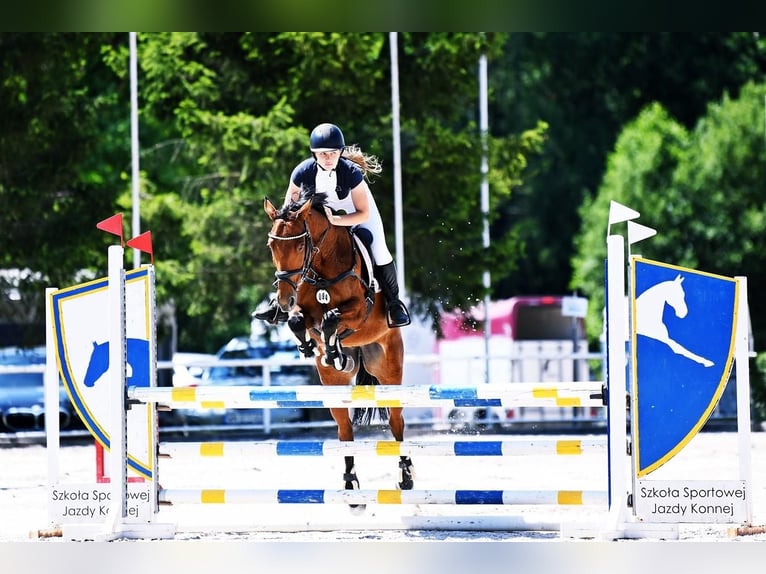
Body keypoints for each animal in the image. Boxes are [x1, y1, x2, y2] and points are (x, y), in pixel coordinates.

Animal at [264, 187, 414, 506]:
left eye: (299, 246)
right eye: (272, 246)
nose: (283, 299)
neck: (323, 267)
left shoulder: (359, 311)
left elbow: (333, 317)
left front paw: (332, 347)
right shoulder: (304, 311)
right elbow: (298, 320)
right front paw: (315, 348)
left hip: (389, 368)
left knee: (397, 422)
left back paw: (405, 476)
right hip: (333, 384)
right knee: (345, 429)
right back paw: (350, 485)